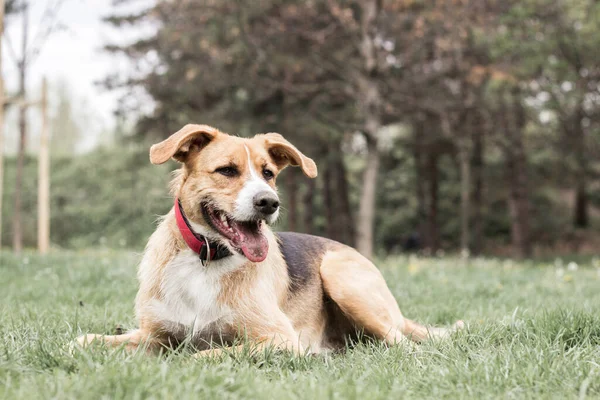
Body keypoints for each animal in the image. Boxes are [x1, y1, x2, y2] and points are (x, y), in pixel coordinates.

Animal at [76, 123, 464, 354]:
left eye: (268, 173)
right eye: (227, 170)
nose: (269, 202)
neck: (206, 258)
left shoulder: (277, 338)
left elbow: (206, 353)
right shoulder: (153, 335)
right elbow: (88, 340)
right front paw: (86, 342)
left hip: (343, 278)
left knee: (404, 345)